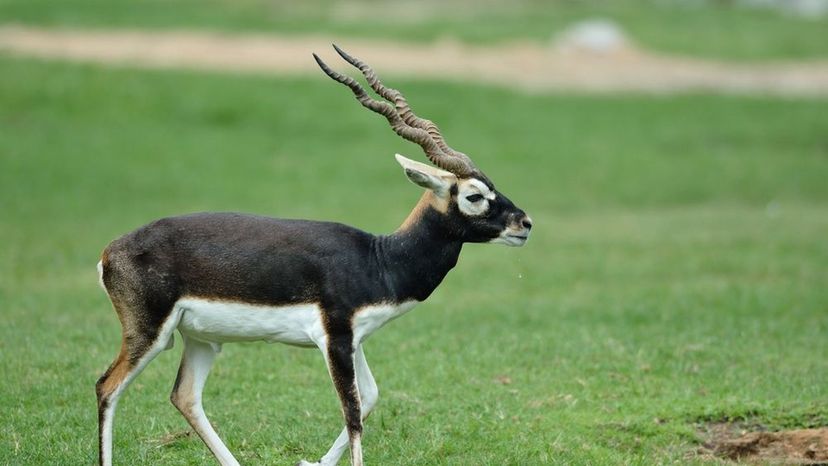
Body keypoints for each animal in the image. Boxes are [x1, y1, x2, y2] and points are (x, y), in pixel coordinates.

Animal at [95, 46, 532, 466]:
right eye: (474, 196)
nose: (524, 223)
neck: (378, 260)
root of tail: (111, 250)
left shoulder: (355, 340)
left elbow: (370, 397)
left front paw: (314, 461)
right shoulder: (333, 338)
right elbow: (353, 413)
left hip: (202, 339)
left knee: (184, 396)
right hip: (150, 334)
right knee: (107, 388)